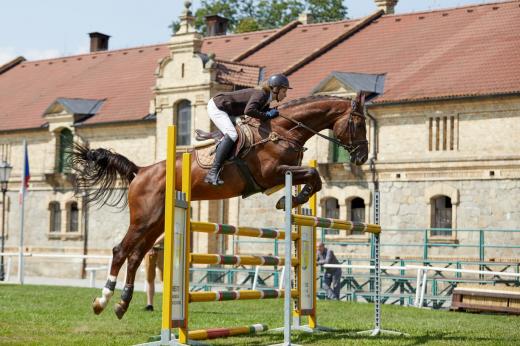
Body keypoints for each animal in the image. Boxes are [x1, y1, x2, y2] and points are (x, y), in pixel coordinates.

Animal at [70, 92, 370, 318]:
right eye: (358, 124)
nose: (362, 157)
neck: (283, 130)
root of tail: (141, 171)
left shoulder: (282, 174)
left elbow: (314, 177)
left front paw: (293, 198)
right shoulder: (271, 174)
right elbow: (313, 174)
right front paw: (291, 198)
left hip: (157, 222)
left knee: (135, 256)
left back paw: (122, 303)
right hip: (144, 218)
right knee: (120, 251)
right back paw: (103, 301)